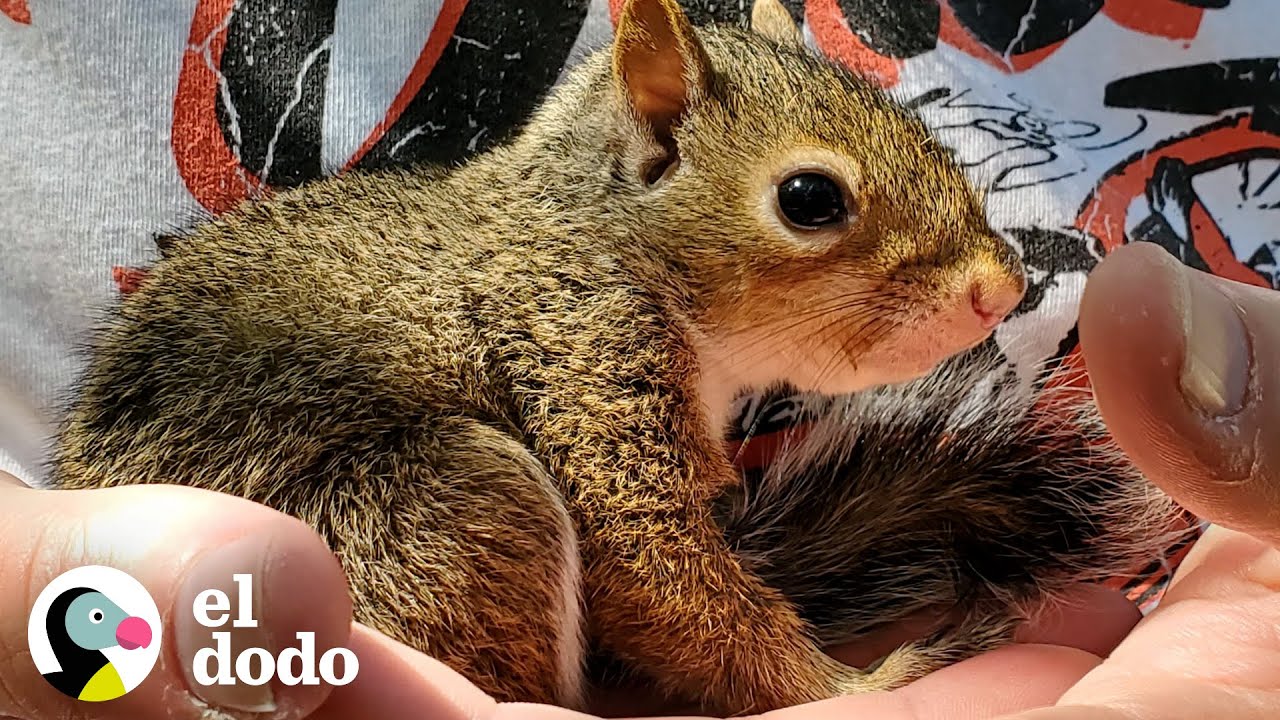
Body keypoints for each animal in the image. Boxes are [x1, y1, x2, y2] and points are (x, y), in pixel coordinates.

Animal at [51, 0, 1031, 714]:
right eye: (809, 198)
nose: (1003, 286)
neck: (595, 237)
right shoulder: (578, 353)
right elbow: (652, 568)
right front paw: (854, 684)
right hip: (447, 507)